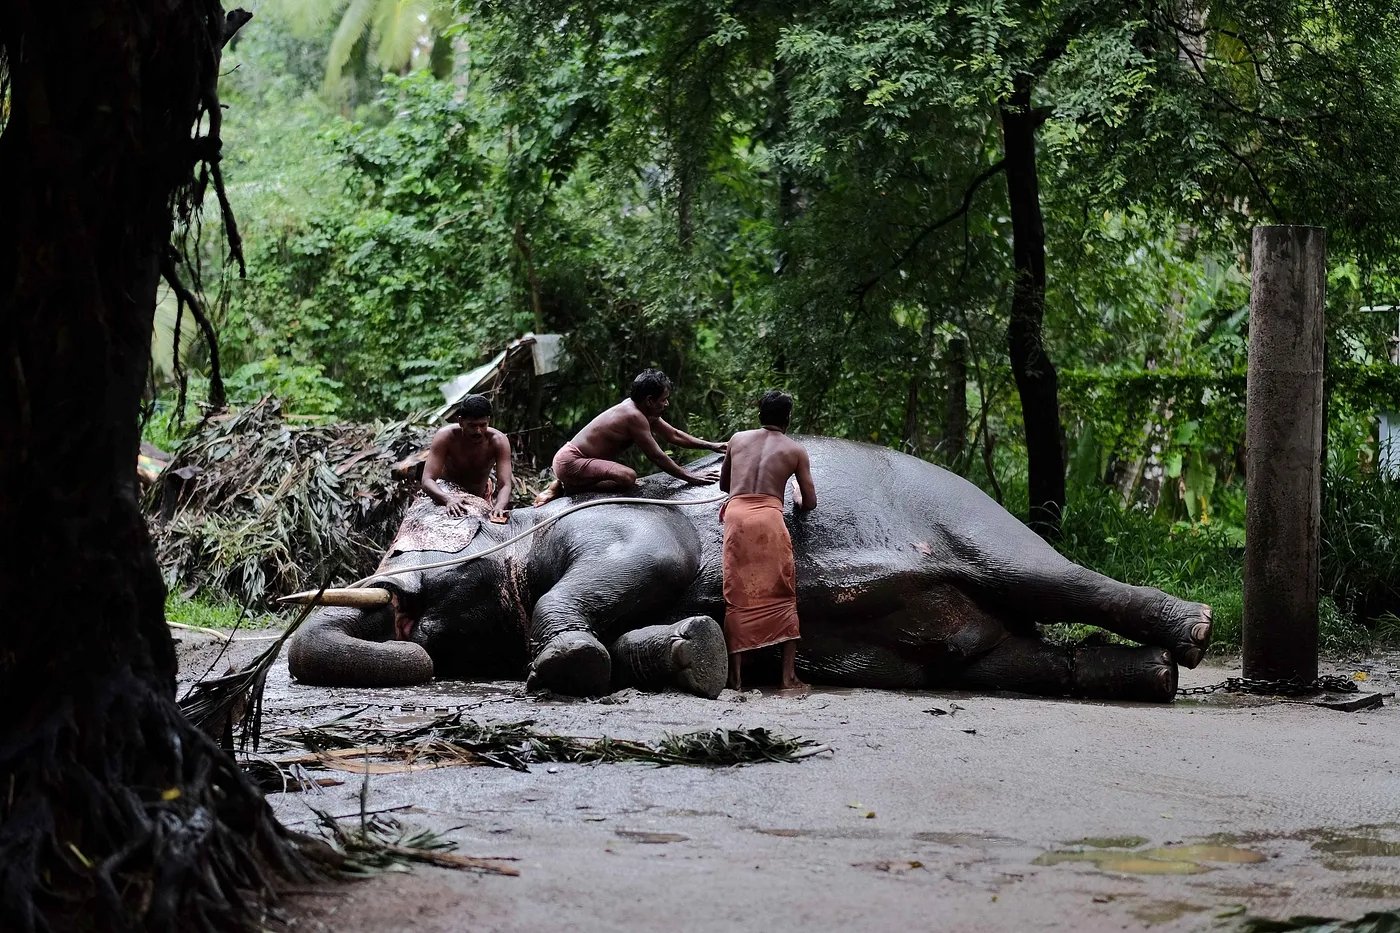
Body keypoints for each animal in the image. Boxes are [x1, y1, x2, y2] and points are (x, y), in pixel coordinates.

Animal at [287, 438, 1212, 703]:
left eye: (400, 542)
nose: (401, 612)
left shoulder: (627, 525)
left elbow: (651, 556)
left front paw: (565, 667)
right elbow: (654, 634)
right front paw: (691, 652)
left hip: (974, 522)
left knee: (1055, 580)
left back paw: (1195, 633)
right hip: (974, 640)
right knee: (1019, 658)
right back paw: (1151, 677)